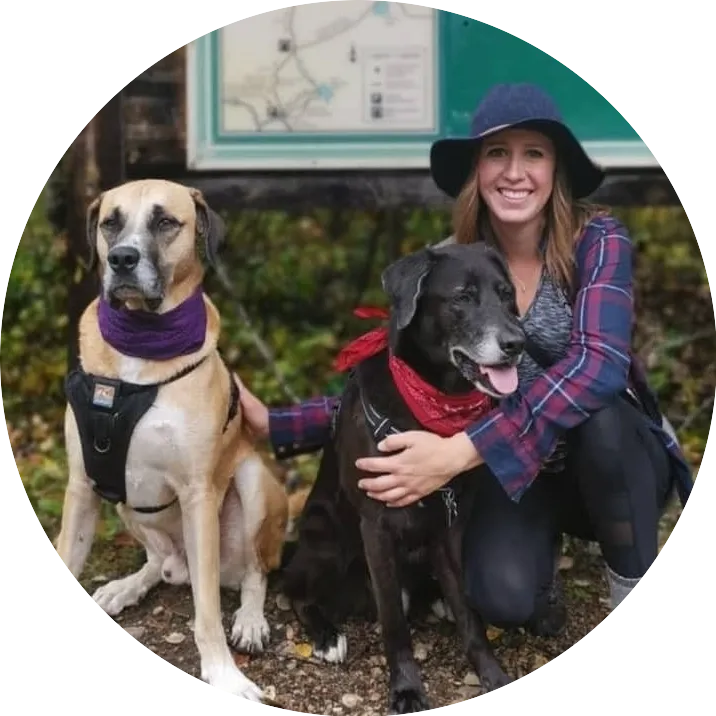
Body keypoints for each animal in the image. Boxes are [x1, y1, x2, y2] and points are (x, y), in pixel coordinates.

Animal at [54, 179, 288, 704]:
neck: (141, 347)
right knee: (160, 562)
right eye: (110, 222)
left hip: (254, 482)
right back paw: (126, 586)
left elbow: (207, 616)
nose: (121, 259)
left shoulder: (198, 493)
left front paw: (225, 676)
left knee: (253, 573)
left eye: (165, 222)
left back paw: (249, 618)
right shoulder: (82, 485)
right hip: (126, 504)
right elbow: (69, 556)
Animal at [282, 241, 524, 712]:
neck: (434, 403)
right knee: (297, 590)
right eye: (463, 297)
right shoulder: (376, 526)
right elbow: (394, 622)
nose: (517, 343)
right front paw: (407, 689)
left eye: (506, 295)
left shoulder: (450, 527)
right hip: (326, 536)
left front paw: (492, 673)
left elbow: (470, 614)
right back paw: (326, 634)